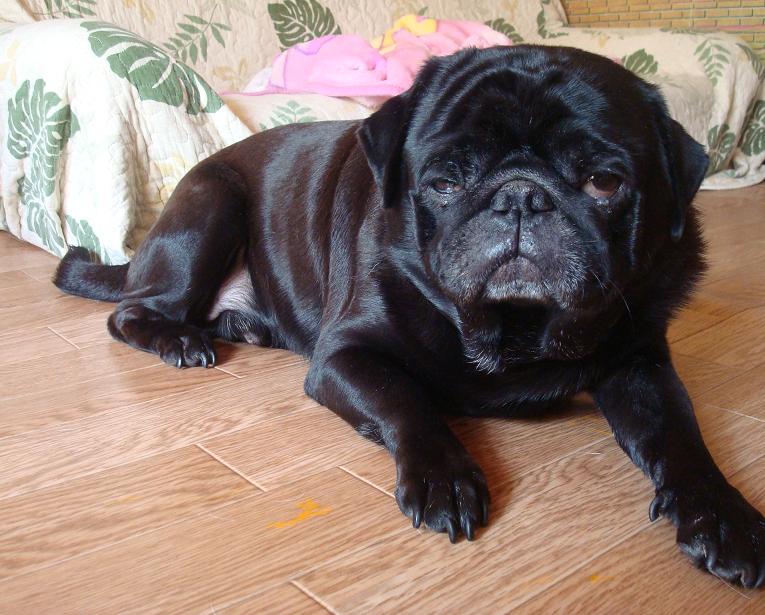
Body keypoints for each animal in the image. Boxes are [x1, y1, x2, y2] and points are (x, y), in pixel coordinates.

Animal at [55, 45, 764, 588]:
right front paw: (444, 476)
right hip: (210, 208)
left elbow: (681, 435)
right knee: (132, 311)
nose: (521, 196)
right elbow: (406, 400)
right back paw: (179, 339)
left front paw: (722, 515)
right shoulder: (347, 356)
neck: (510, 329)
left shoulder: (640, 365)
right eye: (444, 181)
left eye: (605, 182)